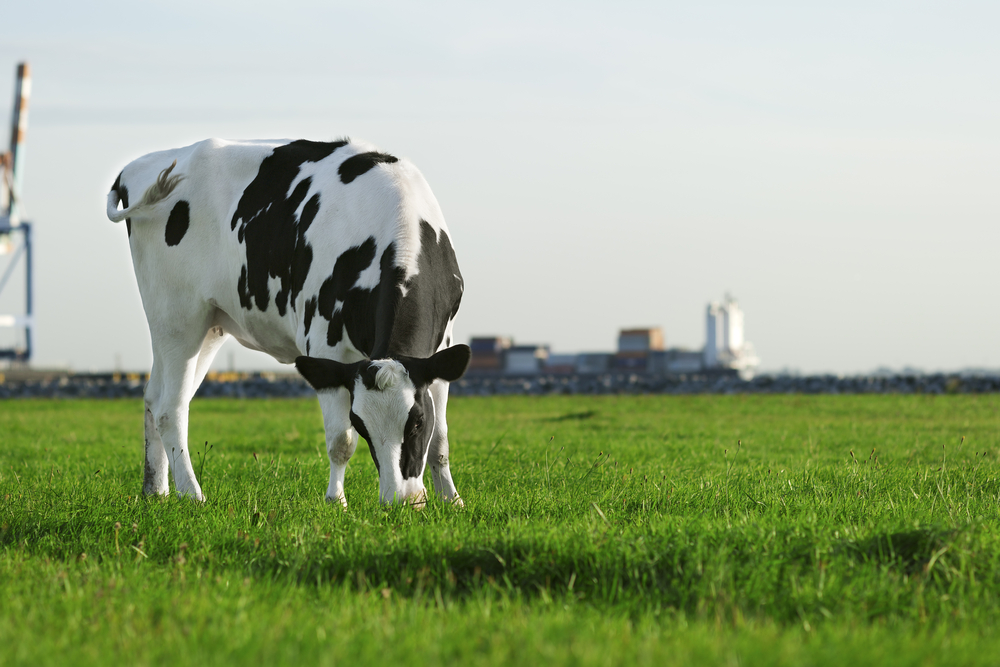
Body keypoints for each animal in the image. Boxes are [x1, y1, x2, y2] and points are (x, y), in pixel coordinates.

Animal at [103, 140, 470, 506]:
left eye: (417, 421)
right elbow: (341, 442)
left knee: (154, 398)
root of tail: (140, 164)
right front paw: (336, 502)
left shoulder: (440, 348)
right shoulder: (324, 344)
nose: (402, 500)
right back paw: (192, 494)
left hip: (206, 326)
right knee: (170, 408)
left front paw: (451, 500)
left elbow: (441, 441)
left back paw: (156, 490)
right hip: (176, 318)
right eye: (361, 423)